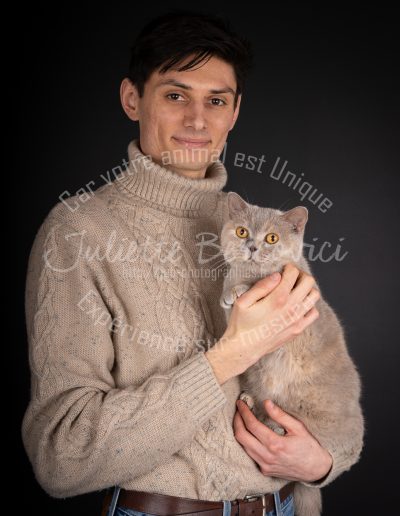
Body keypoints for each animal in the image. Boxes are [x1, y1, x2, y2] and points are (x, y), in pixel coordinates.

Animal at [219, 191, 364, 516]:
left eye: (271, 238)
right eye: (242, 231)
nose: (252, 246)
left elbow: (256, 283)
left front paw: (240, 290)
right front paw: (229, 292)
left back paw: (273, 423)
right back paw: (250, 400)